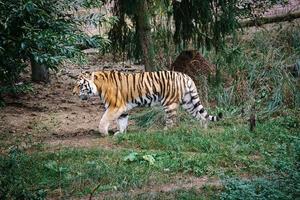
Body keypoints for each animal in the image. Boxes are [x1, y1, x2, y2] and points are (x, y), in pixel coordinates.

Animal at [73, 70, 221, 136]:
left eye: (80, 85)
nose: (73, 93)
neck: (98, 86)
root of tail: (186, 76)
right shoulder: (123, 109)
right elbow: (122, 122)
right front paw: (120, 133)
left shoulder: (114, 107)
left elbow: (103, 120)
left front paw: (104, 133)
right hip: (188, 102)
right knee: (201, 116)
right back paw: (203, 130)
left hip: (169, 103)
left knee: (171, 120)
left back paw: (164, 132)